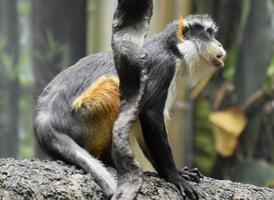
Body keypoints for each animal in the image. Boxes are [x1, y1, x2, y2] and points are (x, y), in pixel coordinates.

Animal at [33, 9, 225, 200]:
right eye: (208, 33)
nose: (220, 44)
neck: (174, 49)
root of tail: (45, 120)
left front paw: (177, 172)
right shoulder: (163, 67)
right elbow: (150, 115)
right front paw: (174, 176)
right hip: (83, 122)